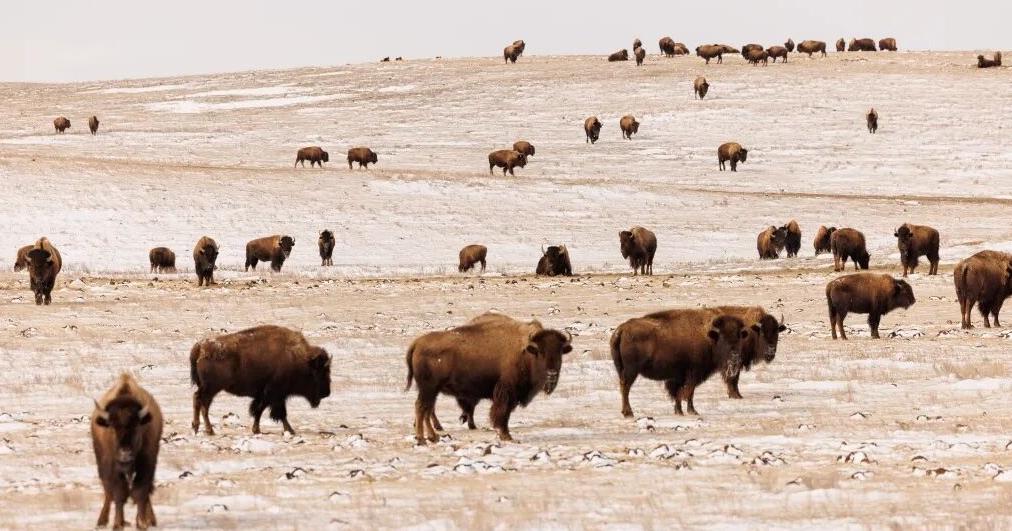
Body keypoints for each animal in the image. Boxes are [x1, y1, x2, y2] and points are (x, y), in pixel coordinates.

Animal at [190, 325, 332, 435]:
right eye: (321, 372)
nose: (327, 392)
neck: (300, 359)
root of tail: (201, 347)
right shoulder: (275, 394)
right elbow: (277, 412)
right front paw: (289, 430)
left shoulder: (268, 395)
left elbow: (260, 410)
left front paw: (257, 429)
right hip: (211, 388)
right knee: (201, 402)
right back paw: (206, 430)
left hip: (209, 388)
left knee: (201, 402)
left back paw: (200, 429)